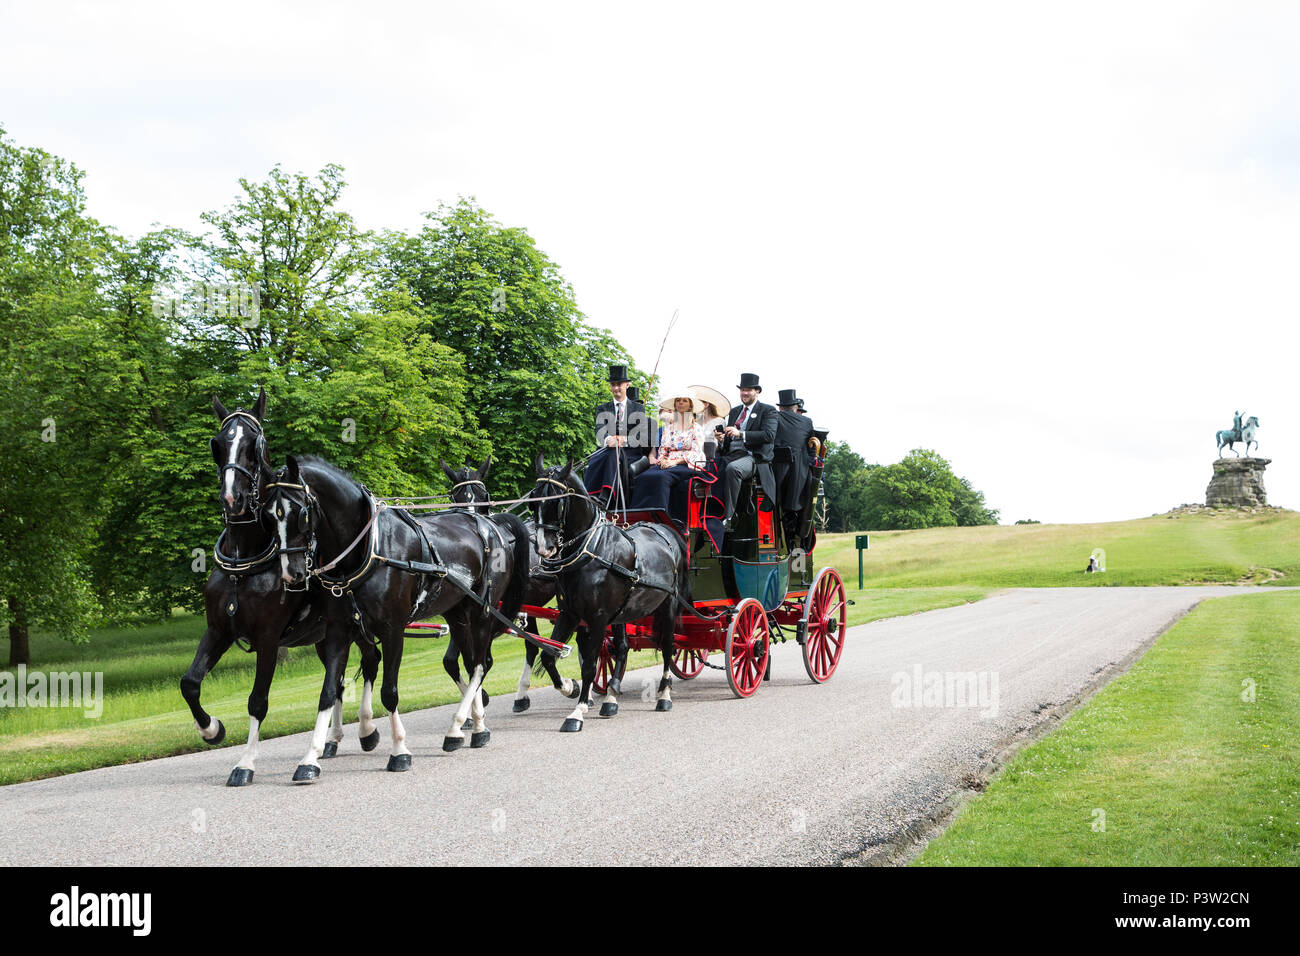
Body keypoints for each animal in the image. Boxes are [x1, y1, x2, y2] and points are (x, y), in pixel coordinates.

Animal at [179, 392, 379, 790]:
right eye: (218, 443)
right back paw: (332, 741)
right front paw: (212, 729)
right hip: (323, 637)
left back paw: (367, 730)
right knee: (340, 679)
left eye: (255, 445)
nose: (233, 499)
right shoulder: (218, 630)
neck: (245, 560)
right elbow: (190, 682)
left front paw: (245, 764)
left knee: (371, 661)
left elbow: (258, 701)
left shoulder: (269, 638)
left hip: (354, 627)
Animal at [279, 455, 533, 764]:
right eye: (270, 513)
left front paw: (399, 750)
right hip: (458, 614)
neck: (371, 548)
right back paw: (473, 726)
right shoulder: (339, 630)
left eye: (300, 514)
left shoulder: (392, 630)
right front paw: (312, 756)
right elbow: (330, 690)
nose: (291, 572)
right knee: (472, 661)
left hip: (482, 610)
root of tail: (490, 526)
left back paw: (457, 728)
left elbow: (389, 691)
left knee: (479, 665)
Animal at [527, 455, 696, 733]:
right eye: (533, 500)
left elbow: (589, 665)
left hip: (669, 605)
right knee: (624, 647)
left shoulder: (597, 617)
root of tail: (666, 530)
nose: (543, 547)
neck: (592, 551)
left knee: (668, 646)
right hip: (622, 612)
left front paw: (577, 712)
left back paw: (663, 696)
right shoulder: (570, 614)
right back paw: (611, 697)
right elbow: (549, 655)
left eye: (557, 502)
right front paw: (570, 687)